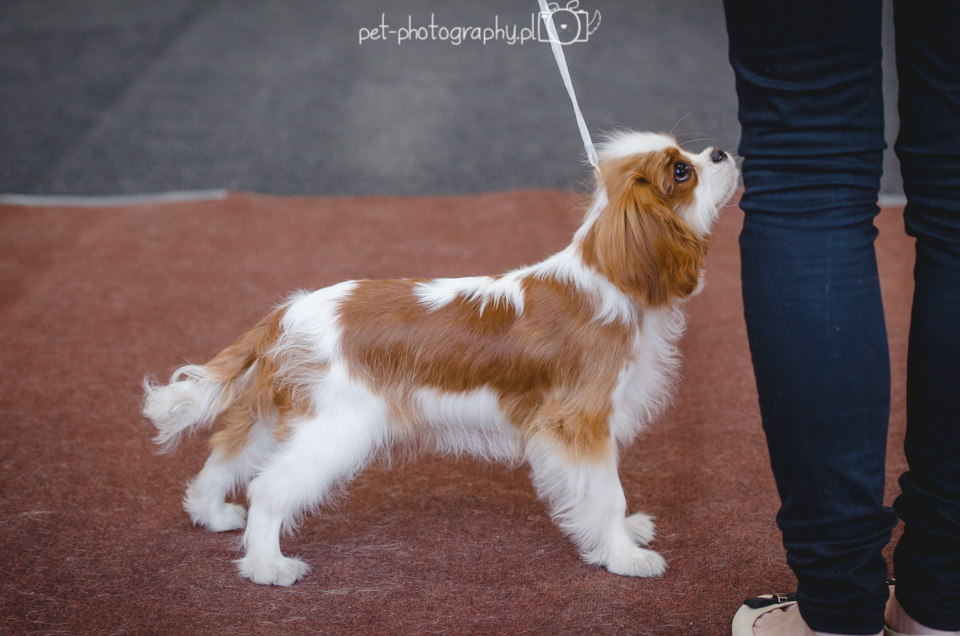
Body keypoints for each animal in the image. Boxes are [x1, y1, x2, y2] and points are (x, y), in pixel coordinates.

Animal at [142, 131, 738, 586]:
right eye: (681, 170)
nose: (722, 152)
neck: (609, 278)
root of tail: (286, 313)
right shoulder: (580, 423)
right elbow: (607, 494)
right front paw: (624, 556)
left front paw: (623, 535)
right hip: (334, 429)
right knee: (268, 489)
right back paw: (267, 565)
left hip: (276, 415)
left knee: (221, 457)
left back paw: (212, 515)